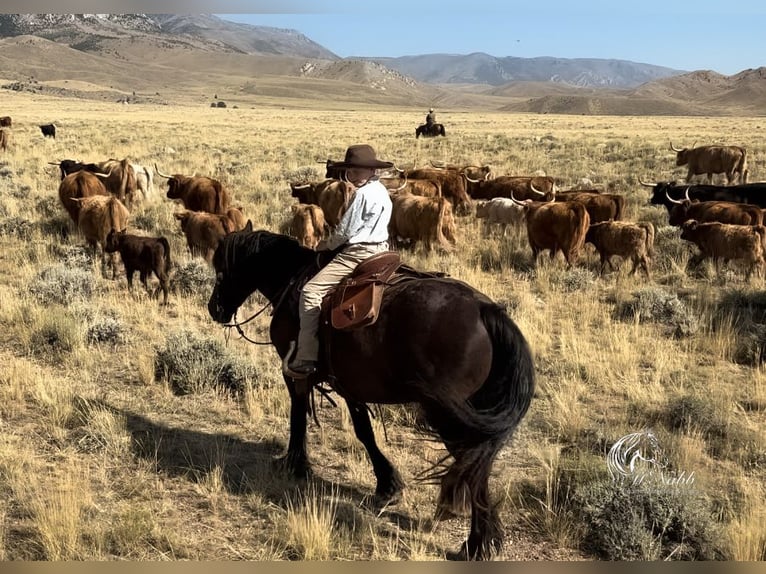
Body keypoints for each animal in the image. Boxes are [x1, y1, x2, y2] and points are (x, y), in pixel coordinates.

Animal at [207, 223, 536, 560]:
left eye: (220, 269)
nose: (214, 309)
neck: (291, 279)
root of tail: (485, 310)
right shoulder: (349, 382)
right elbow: (364, 430)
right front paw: (387, 484)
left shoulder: (295, 373)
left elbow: (299, 417)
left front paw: (296, 464)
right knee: (478, 465)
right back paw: (486, 537)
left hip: (449, 415)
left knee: (471, 468)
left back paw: (477, 542)